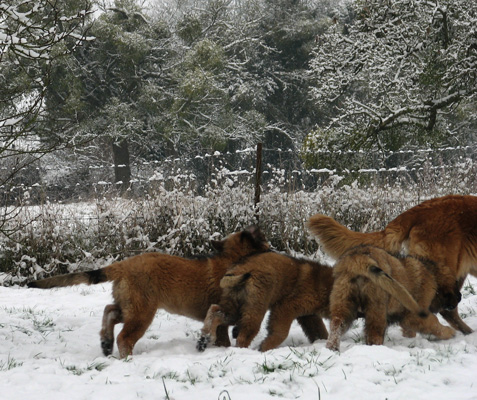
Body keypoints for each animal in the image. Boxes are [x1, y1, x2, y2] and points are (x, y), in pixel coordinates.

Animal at [27, 225, 270, 360]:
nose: (272, 248)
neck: (233, 257)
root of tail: (124, 265)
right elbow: (221, 335)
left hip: (131, 307)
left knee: (109, 310)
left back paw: (106, 342)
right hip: (142, 313)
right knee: (124, 337)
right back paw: (127, 359)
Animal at [195, 252, 332, 352]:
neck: (326, 286)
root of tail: (239, 270)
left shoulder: (308, 315)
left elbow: (319, 330)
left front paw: (322, 341)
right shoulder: (286, 307)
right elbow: (280, 332)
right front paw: (265, 347)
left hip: (235, 308)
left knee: (215, 311)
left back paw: (205, 337)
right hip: (254, 309)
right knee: (243, 337)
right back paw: (242, 351)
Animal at [326, 245, 456, 352]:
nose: (459, 298)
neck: (432, 276)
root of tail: (359, 258)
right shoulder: (414, 315)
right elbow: (434, 323)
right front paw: (449, 332)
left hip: (343, 299)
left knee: (336, 324)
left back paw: (332, 348)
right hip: (377, 306)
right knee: (374, 333)